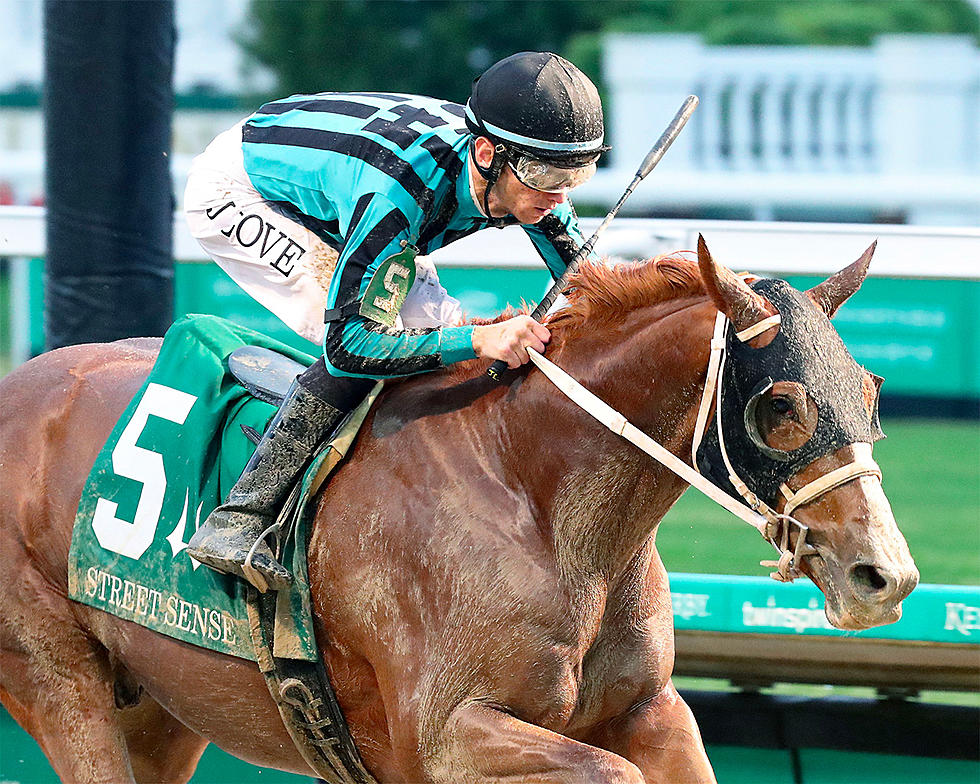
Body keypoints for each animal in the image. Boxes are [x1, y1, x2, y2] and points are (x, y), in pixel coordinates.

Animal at [0, 240, 920, 784]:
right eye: (780, 405)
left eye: (871, 389)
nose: (886, 576)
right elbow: (607, 772)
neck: (536, 499)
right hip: (59, 679)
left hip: (161, 706)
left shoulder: (650, 710)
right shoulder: (447, 737)